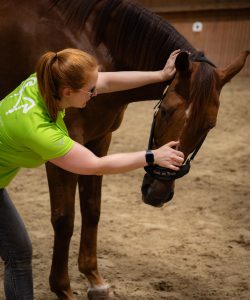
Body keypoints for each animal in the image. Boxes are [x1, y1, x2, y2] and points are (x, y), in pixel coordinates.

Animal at [0, 0, 248, 300]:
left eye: (210, 125)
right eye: (165, 111)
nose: (157, 193)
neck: (91, 41)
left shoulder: (99, 140)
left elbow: (92, 210)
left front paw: (95, 280)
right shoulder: (61, 148)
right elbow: (64, 218)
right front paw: (63, 288)